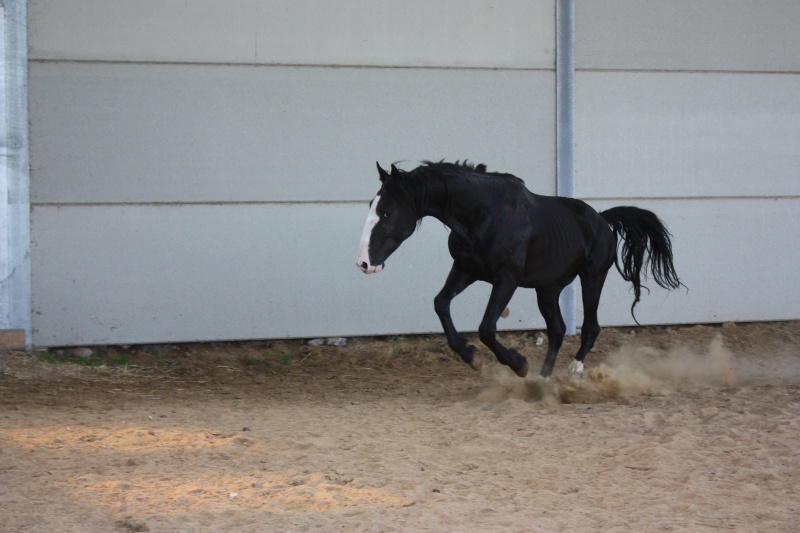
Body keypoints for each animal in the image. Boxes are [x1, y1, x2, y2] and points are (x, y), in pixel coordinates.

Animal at [356, 160, 680, 376]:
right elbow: (441, 303)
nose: (364, 263)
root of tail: (602, 219)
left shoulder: (506, 279)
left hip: (592, 278)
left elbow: (486, 328)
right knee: (557, 330)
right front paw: (470, 355)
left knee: (590, 327)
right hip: (548, 289)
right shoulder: (466, 269)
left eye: (387, 212)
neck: (485, 215)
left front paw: (518, 364)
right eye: (372, 205)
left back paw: (573, 371)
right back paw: (543, 380)